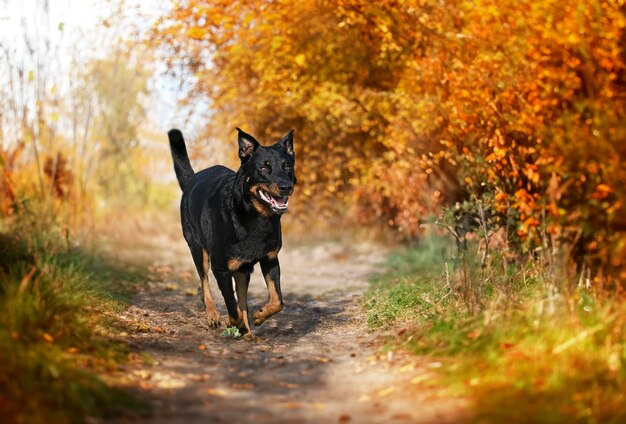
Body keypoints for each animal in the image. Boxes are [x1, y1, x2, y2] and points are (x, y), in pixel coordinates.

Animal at [168, 127, 294, 332]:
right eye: (264, 168)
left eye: (287, 167)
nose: (286, 187)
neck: (253, 215)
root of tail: (192, 179)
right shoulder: (221, 269)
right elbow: (232, 309)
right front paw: (232, 321)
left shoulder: (270, 260)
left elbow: (277, 301)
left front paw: (260, 315)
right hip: (198, 249)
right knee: (205, 286)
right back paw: (214, 316)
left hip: (242, 270)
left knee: (241, 299)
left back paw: (248, 331)